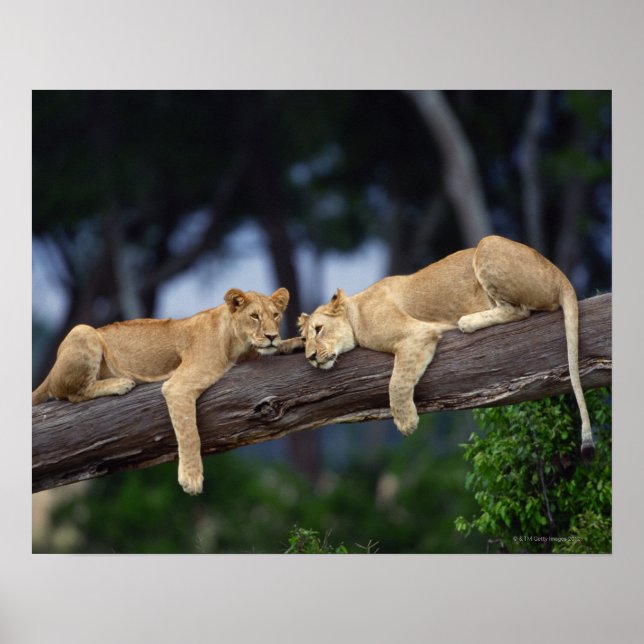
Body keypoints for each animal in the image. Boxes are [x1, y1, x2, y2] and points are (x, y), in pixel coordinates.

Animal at [32, 287, 303, 495]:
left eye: (276, 315)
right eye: (254, 316)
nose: (271, 335)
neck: (236, 343)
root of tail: (52, 369)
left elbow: (269, 351)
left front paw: (295, 342)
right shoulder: (178, 386)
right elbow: (190, 433)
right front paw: (191, 478)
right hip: (83, 330)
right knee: (71, 393)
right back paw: (120, 383)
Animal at [298, 235, 595, 459]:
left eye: (319, 329)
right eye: (304, 340)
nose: (311, 357)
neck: (356, 308)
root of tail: (560, 274)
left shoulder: (416, 334)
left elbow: (397, 382)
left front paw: (406, 422)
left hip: (488, 244)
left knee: (519, 310)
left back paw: (467, 321)